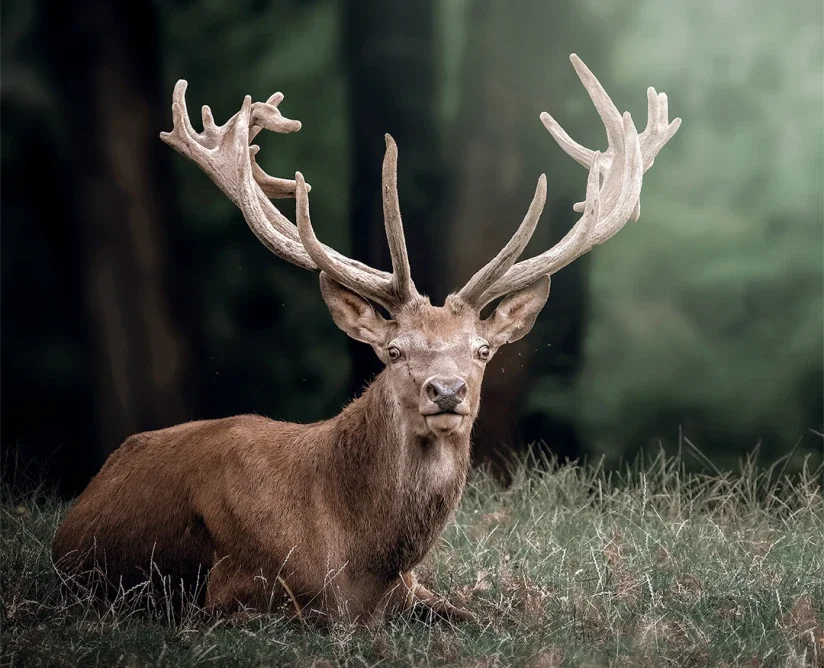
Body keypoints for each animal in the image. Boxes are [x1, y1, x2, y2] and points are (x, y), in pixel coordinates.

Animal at [54, 54, 680, 624]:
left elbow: (483, 617)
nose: (446, 391)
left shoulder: (414, 588)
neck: (359, 561)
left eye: (482, 351)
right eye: (395, 351)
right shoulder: (233, 589)